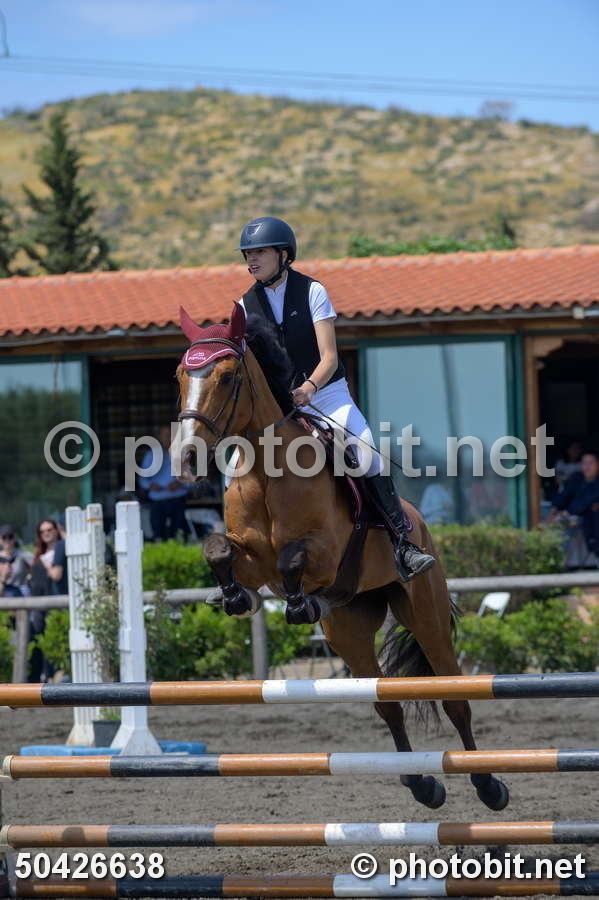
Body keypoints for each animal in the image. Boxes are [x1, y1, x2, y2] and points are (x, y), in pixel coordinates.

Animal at [172, 301, 509, 812]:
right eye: (179, 375)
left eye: (227, 377)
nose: (187, 458)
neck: (267, 472)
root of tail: (418, 520)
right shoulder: (251, 559)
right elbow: (218, 549)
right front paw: (234, 597)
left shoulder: (325, 554)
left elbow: (292, 559)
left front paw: (296, 604)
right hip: (348, 630)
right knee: (386, 703)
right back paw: (423, 786)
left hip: (425, 614)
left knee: (455, 698)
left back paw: (489, 785)